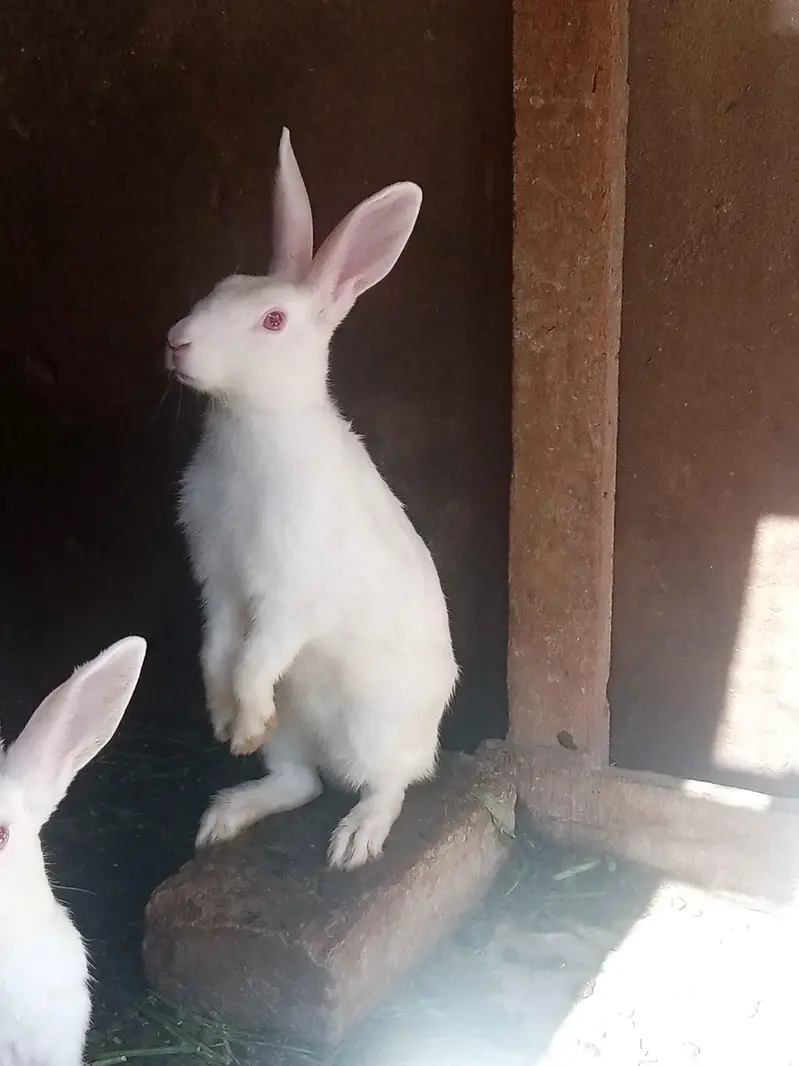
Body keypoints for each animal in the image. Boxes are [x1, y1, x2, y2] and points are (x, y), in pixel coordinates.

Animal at [167, 128, 459, 870]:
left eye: (272, 320)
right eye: (220, 288)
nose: (177, 342)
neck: (253, 427)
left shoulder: (290, 592)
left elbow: (256, 656)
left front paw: (240, 715)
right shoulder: (218, 580)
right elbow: (216, 648)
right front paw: (226, 723)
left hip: (376, 727)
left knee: (391, 783)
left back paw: (354, 841)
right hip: (294, 735)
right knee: (297, 783)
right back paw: (226, 813)